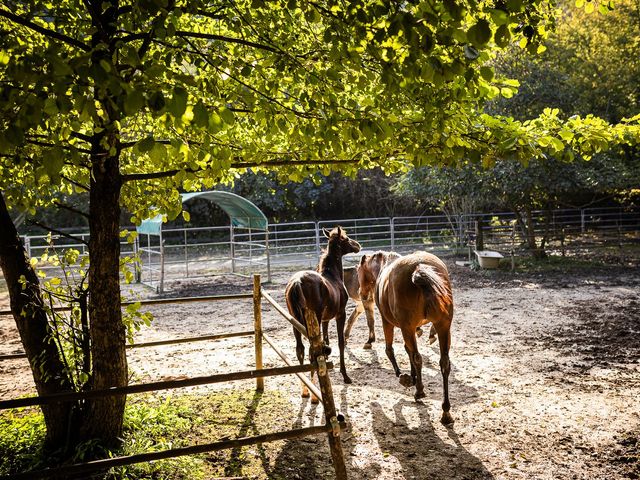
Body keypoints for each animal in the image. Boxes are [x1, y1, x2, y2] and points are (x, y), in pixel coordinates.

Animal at [284, 228, 360, 398]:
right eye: (345, 239)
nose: (358, 245)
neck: (333, 277)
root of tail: (297, 282)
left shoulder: (325, 319)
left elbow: (326, 341)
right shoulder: (340, 315)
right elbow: (339, 342)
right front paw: (345, 375)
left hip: (296, 322)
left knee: (300, 349)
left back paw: (305, 388)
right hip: (313, 320)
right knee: (311, 351)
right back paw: (313, 392)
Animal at [364, 251, 456, 424]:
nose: (363, 294)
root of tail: (419, 267)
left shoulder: (390, 323)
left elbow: (391, 350)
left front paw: (404, 377)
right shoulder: (413, 329)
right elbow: (408, 350)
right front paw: (412, 376)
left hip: (407, 327)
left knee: (417, 357)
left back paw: (419, 391)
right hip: (443, 326)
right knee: (444, 363)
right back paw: (446, 411)